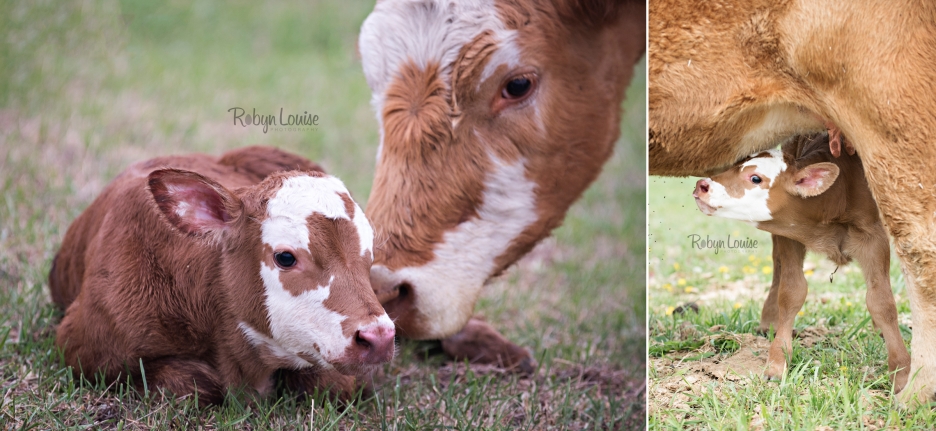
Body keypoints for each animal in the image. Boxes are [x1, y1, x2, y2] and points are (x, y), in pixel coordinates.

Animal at [49, 147, 394, 406]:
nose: (379, 337)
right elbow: (198, 384)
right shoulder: (84, 349)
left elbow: (337, 384)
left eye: (369, 254)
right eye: (285, 257)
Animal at [692, 133, 912, 394]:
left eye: (755, 178)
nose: (702, 185)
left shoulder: (873, 238)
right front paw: (777, 363)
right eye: (734, 165)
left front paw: (902, 374)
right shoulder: (789, 235)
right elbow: (791, 292)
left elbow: (881, 302)